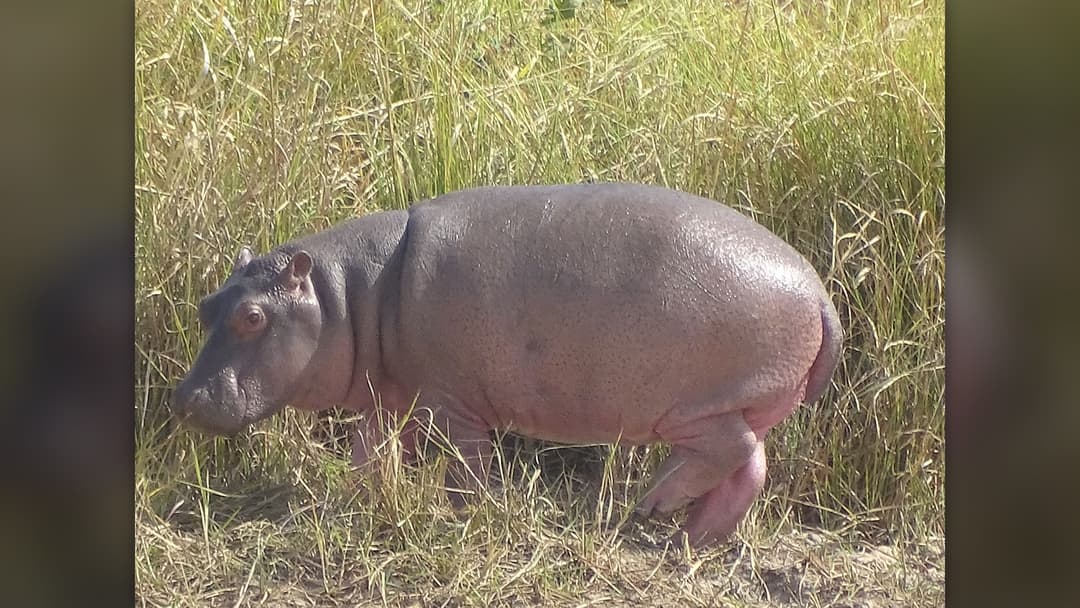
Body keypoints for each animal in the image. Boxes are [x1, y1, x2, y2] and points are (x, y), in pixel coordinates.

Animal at [171, 182, 842, 547]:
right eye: (206, 305)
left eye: (252, 317)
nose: (184, 397)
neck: (348, 296)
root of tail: (818, 291)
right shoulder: (394, 397)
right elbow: (370, 452)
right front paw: (360, 496)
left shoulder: (453, 403)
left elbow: (466, 465)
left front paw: (467, 513)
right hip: (739, 401)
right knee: (749, 466)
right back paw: (689, 536)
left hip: (698, 406)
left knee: (731, 452)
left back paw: (652, 505)